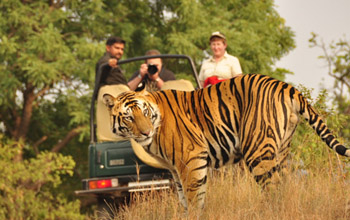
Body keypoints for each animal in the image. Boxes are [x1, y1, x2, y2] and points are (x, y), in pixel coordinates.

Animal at [102, 74, 350, 211]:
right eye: (129, 117)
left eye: (144, 112)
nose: (145, 132)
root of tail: (285, 85)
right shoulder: (175, 169)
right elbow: (185, 200)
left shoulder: (191, 160)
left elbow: (194, 199)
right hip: (281, 150)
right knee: (285, 186)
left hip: (258, 151)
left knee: (274, 188)